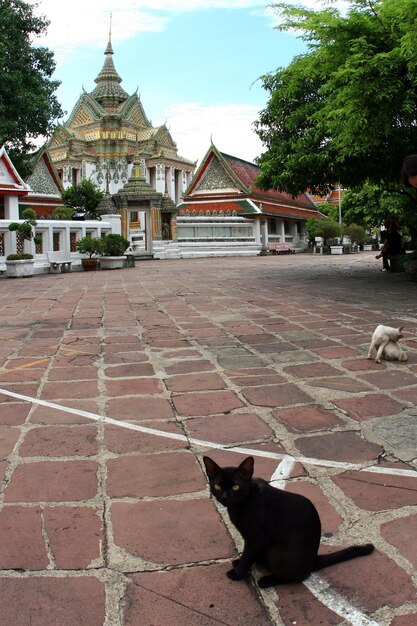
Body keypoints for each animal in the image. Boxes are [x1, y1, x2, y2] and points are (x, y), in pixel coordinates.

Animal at [202, 454, 374, 584]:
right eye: (217, 486)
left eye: (235, 487)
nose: (225, 496)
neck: (241, 505)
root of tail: (314, 559)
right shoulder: (252, 541)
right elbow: (248, 554)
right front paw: (241, 564)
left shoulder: (256, 539)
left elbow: (248, 555)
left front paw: (237, 573)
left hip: (277, 552)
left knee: (297, 576)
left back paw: (266, 581)